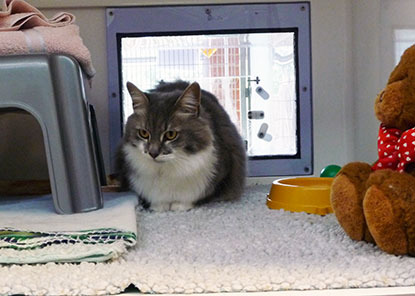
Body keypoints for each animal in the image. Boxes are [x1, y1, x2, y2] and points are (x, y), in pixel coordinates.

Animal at [116, 80, 247, 212]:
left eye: (170, 134)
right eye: (144, 133)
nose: (153, 153)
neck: (165, 171)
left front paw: (179, 206)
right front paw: (159, 208)